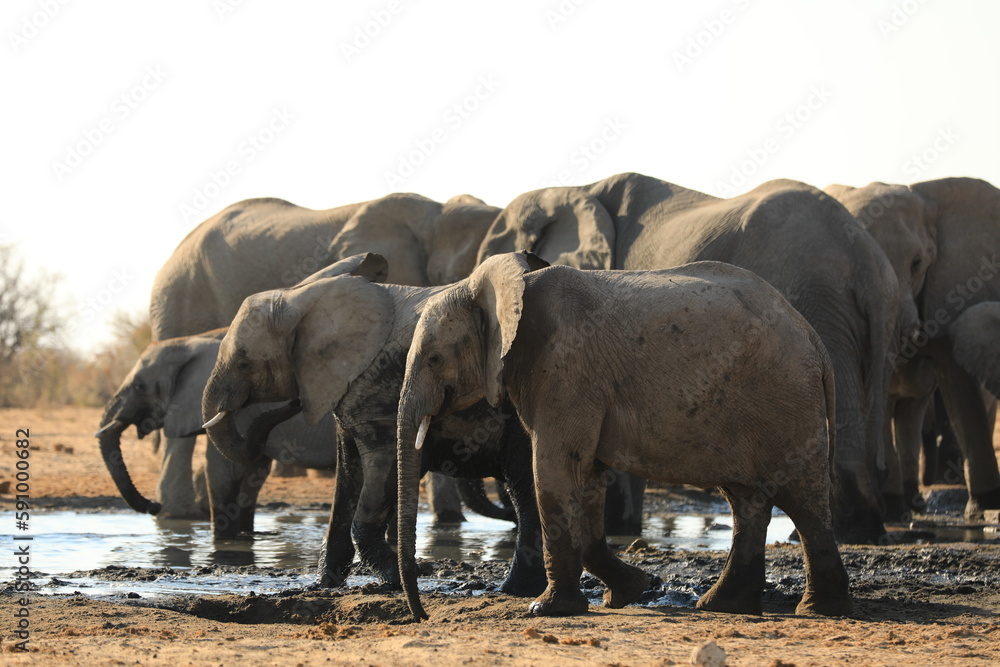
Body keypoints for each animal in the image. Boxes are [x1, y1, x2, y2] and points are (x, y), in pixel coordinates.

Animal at [201, 252, 547, 594]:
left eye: (244, 363)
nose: (294, 402)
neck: (303, 297)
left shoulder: (374, 390)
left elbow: (380, 467)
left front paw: (395, 578)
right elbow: (346, 476)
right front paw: (323, 586)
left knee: (525, 491)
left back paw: (512, 590)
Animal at [396, 253, 853, 620]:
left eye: (433, 359)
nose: (423, 616)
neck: (497, 286)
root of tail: (813, 339)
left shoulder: (564, 368)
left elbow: (555, 469)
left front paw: (547, 609)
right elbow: (588, 477)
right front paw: (629, 592)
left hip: (786, 398)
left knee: (803, 501)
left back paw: (819, 610)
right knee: (747, 501)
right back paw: (723, 606)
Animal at [477, 172, 911, 544]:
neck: (577, 188)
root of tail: (865, 258)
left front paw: (616, 527)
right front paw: (622, 528)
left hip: (814, 297)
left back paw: (842, 533)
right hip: (867, 321)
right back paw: (860, 530)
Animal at [827, 178, 1000, 518]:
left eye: (917, 264)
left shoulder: (946, 285)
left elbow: (961, 391)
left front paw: (984, 508)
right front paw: (889, 507)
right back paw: (896, 504)